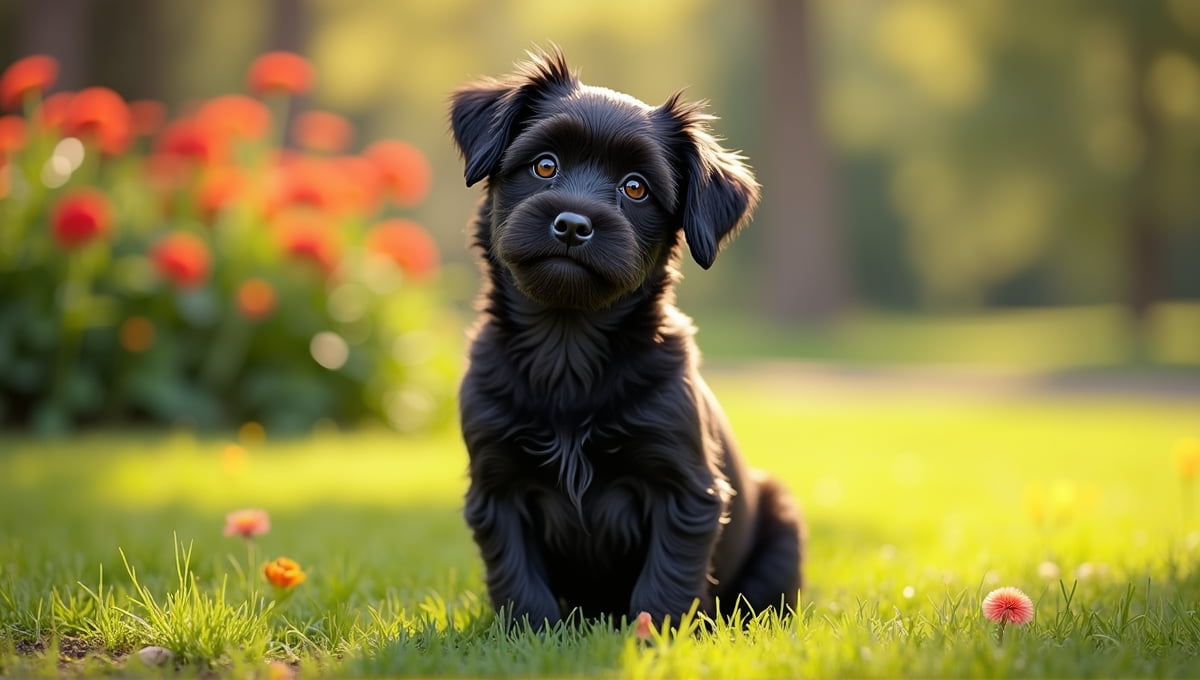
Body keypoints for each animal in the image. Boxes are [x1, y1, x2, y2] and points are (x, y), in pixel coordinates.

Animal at [451, 50, 806, 628]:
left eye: (636, 187)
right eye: (544, 165)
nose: (573, 224)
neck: (568, 346)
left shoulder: (685, 490)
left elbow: (667, 580)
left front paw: (653, 635)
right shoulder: (495, 485)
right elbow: (518, 577)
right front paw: (529, 634)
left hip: (783, 520)